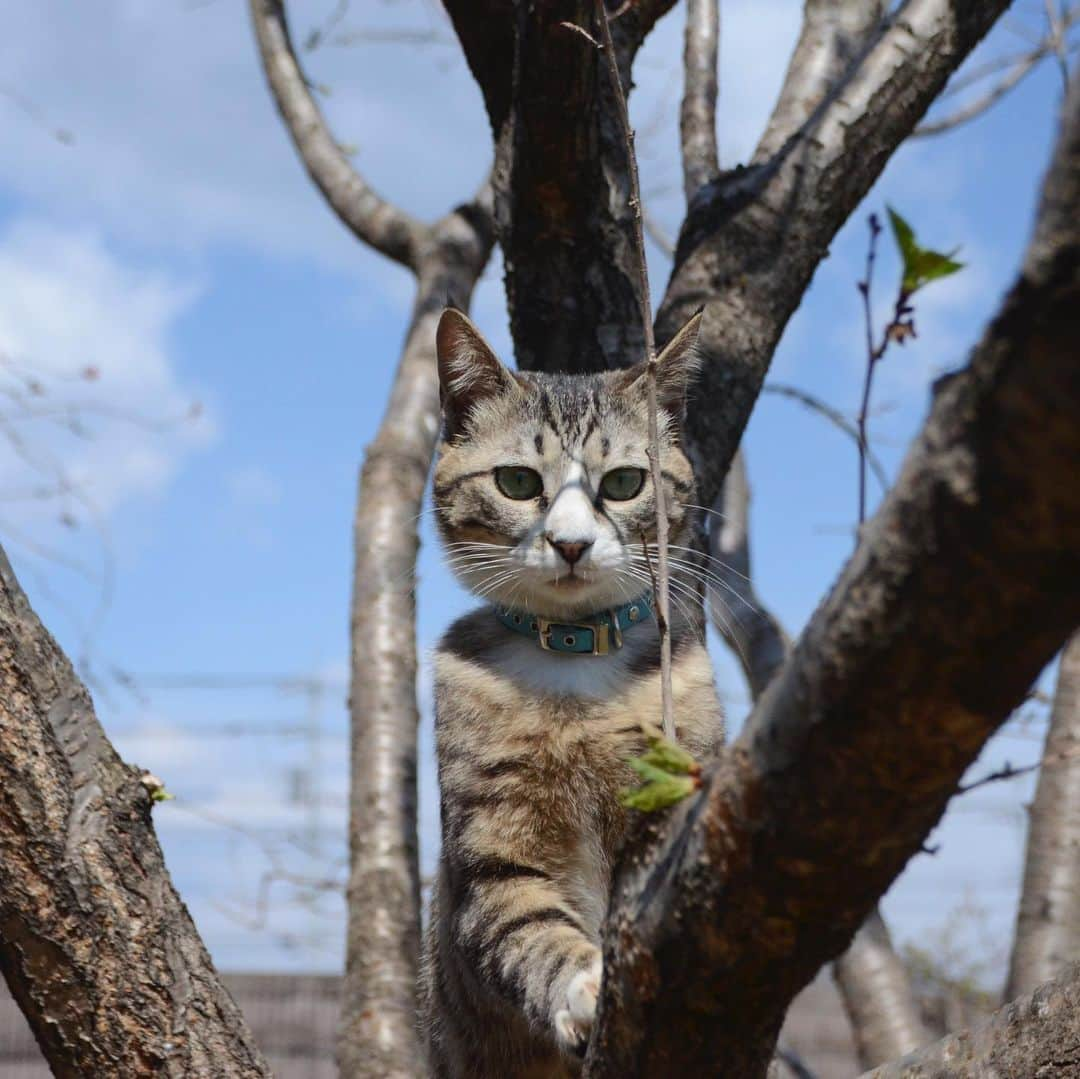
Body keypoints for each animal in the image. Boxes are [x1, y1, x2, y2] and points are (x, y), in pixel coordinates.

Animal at [421, 306, 725, 1079]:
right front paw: (583, 986)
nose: (570, 543)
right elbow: (527, 925)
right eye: (516, 481)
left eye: (622, 483)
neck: (574, 656)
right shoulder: (491, 849)